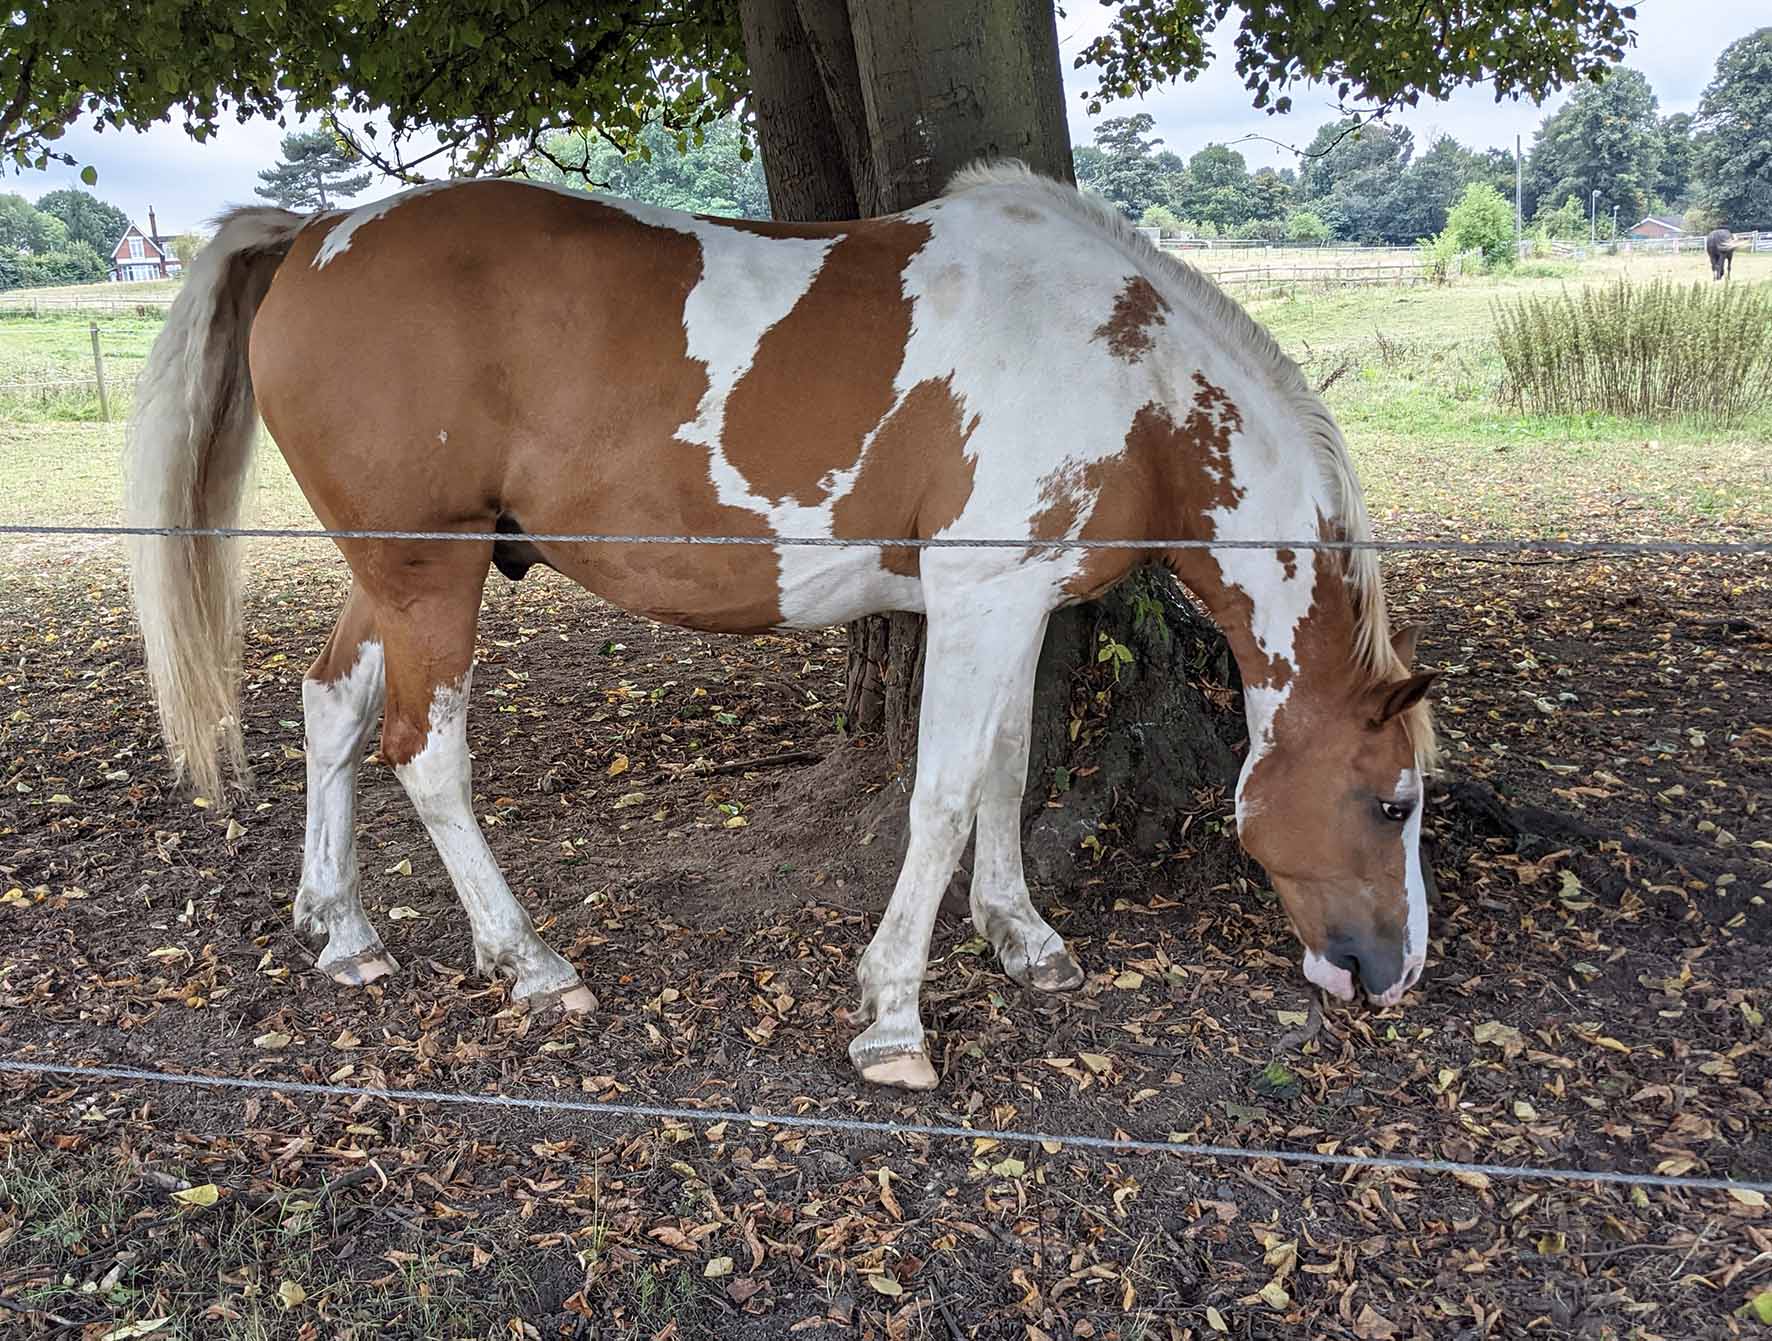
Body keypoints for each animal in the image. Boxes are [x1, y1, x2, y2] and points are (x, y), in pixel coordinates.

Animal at [125, 163, 1437, 1091]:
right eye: (1392, 803)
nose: (1391, 975)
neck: (1126, 371)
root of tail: (314, 230)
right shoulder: (979, 601)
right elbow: (942, 795)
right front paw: (892, 1017)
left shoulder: (1014, 606)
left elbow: (1004, 771)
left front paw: (1021, 938)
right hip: (431, 576)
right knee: (424, 752)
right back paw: (531, 966)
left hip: (393, 576)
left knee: (332, 709)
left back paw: (340, 929)